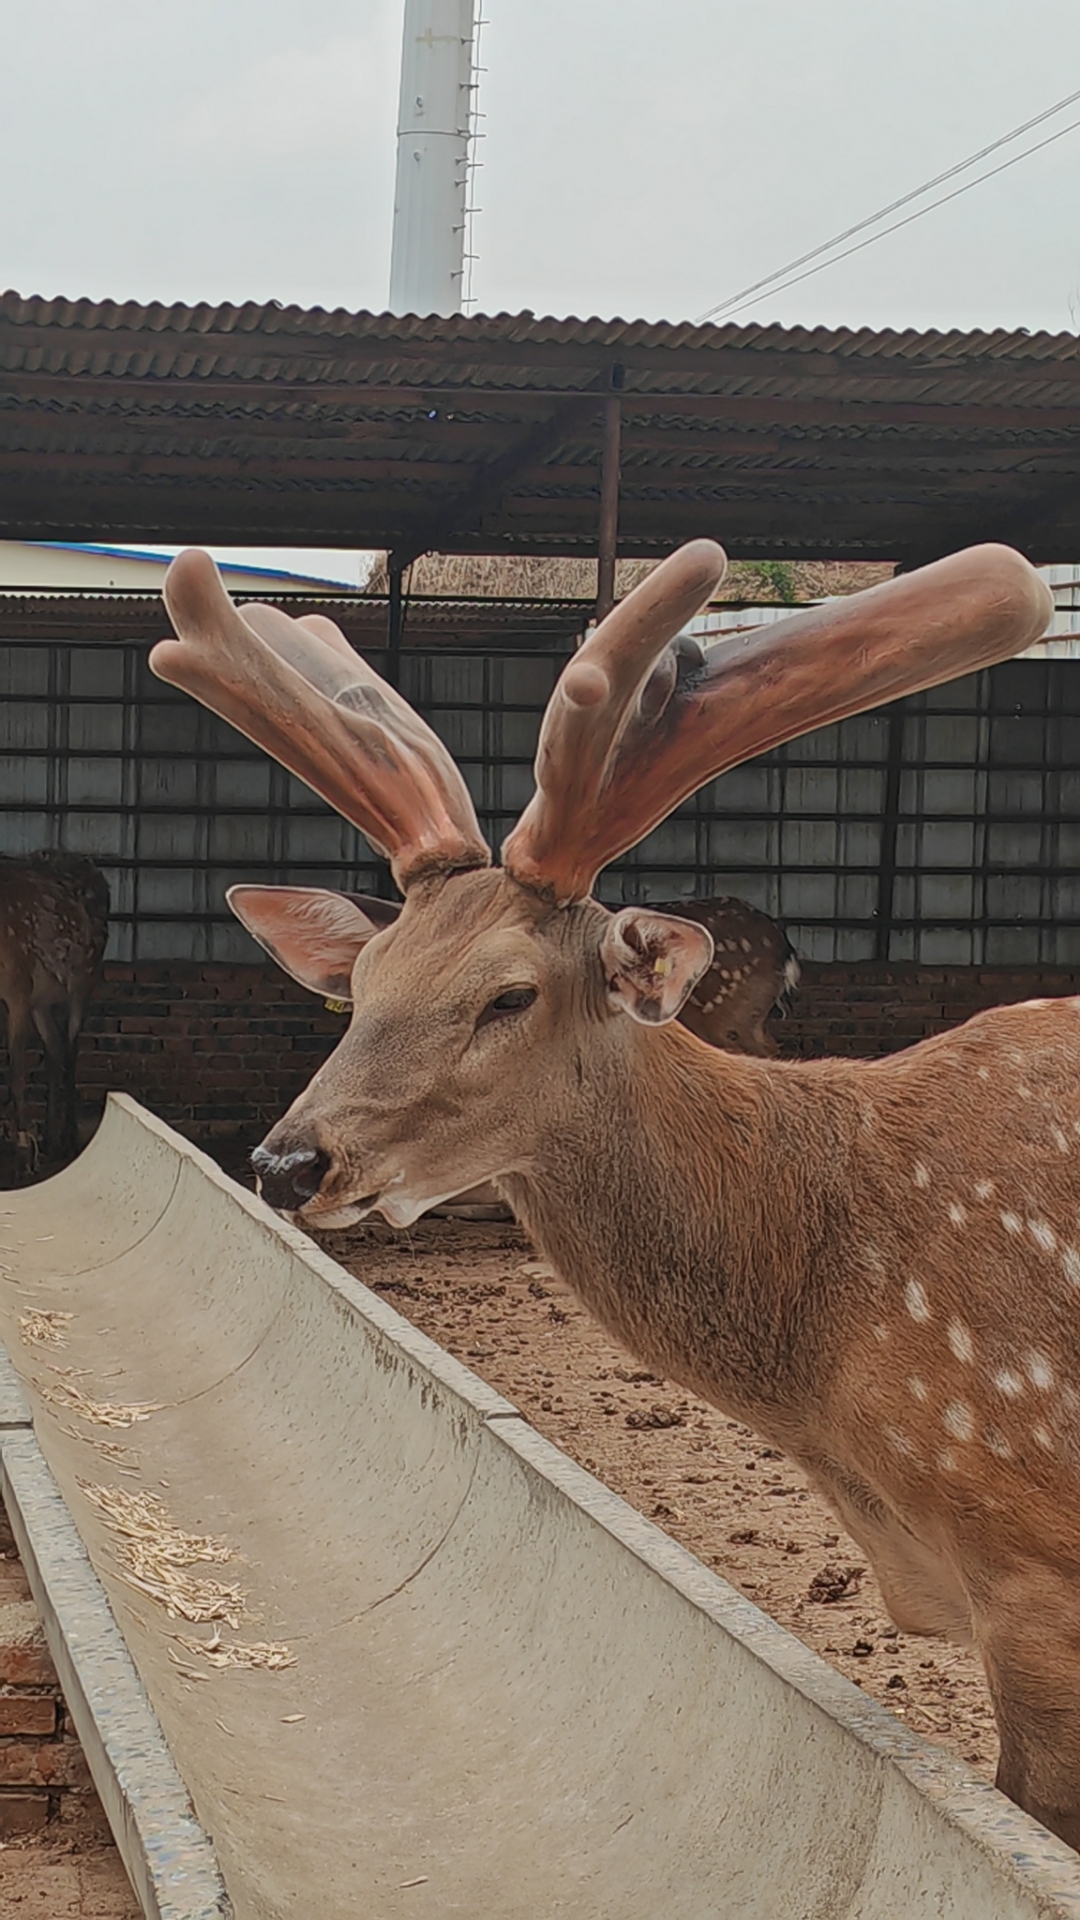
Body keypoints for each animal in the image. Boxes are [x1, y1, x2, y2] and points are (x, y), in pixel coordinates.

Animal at [0, 851, 109, 1171]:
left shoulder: (18, 991)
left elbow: (16, 1073)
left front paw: (22, 1152)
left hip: (84, 981)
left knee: (71, 1049)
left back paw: (69, 1137)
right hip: (43, 1000)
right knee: (54, 1048)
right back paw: (50, 1139)